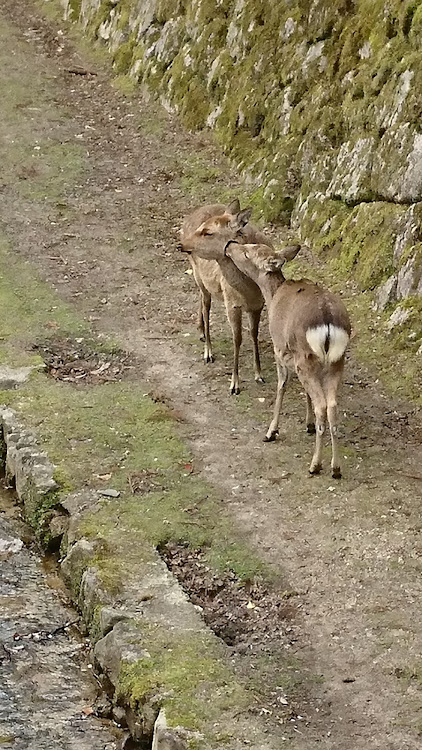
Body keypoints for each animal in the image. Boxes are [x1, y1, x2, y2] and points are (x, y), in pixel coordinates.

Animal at [178, 200, 274, 400]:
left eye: (208, 232)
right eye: (202, 228)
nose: (181, 244)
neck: (249, 288)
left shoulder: (258, 304)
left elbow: (254, 334)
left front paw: (259, 374)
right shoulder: (232, 303)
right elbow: (237, 339)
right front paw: (234, 385)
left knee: (201, 299)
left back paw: (201, 331)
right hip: (198, 274)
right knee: (206, 306)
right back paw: (208, 351)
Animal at [185, 210, 352, 482]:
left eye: (248, 252)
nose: (230, 246)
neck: (273, 294)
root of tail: (328, 323)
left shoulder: (280, 349)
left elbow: (282, 386)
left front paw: (271, 431)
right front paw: (304, 424)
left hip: (307, 358)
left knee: (322, 406)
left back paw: (315, 465)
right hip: (336, 361)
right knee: (332, 406)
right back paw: (336, 468)